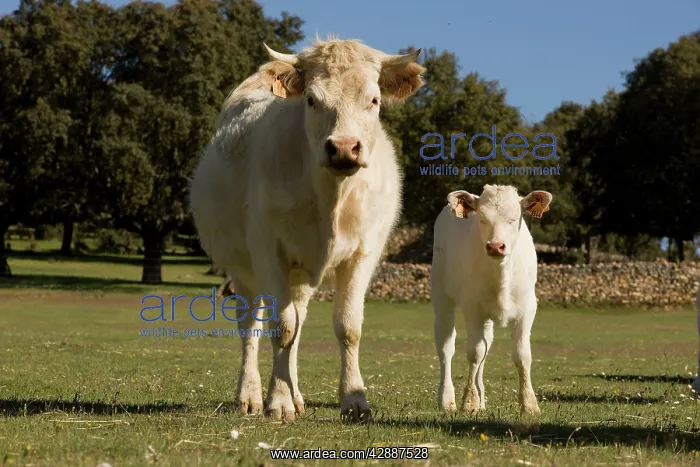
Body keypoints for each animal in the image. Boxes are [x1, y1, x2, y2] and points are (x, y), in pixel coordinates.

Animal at [188, 37, 425, 422]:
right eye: (312, 100)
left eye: (374, 100)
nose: (343, 148)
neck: (331, 197)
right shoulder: (267, 249)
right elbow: (281, 327)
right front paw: (278, 402)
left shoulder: (364, 254)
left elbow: (347, 327)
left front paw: (354, 401)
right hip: (244, 271)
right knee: (251, 326)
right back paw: (250, 396)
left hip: (299, 275)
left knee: (297, 322)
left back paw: (297, 394)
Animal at [430, 184, 552, 416]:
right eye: (482, 218)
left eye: (514, 218)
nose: (496, 246)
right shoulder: (472, 308)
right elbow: (474, 353)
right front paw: (469, 401)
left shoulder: (527, 309)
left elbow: (522, 355)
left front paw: (529, 404)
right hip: (441, 295)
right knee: (446, 347)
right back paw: (446, 399)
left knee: (485, 346)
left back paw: (482, 399)